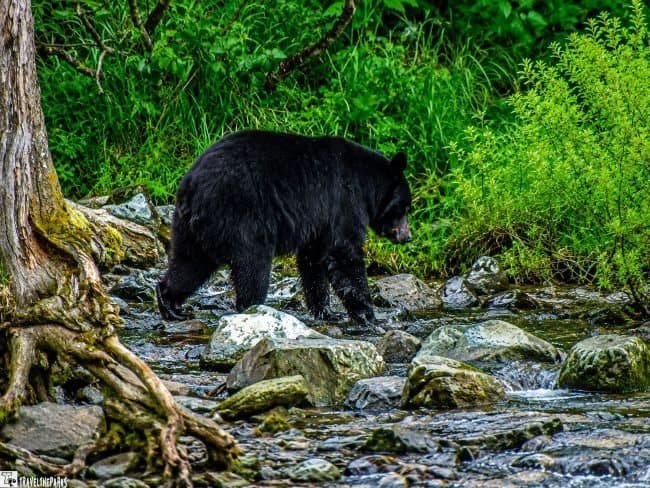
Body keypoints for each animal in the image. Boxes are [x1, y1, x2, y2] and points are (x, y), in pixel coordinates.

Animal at [156, 130, 412, 324]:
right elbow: (345, 254)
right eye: (406, 207)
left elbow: (313, 261)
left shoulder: (319, 224)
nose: (407, 237)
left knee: (189, 262)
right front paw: (367, 314)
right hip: (241, 216)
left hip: (190, 227)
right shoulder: (344, 202)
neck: (366, 186)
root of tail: (192, 186)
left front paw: (326, 311)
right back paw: (253, 309)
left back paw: (170, 304)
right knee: (252, 266)